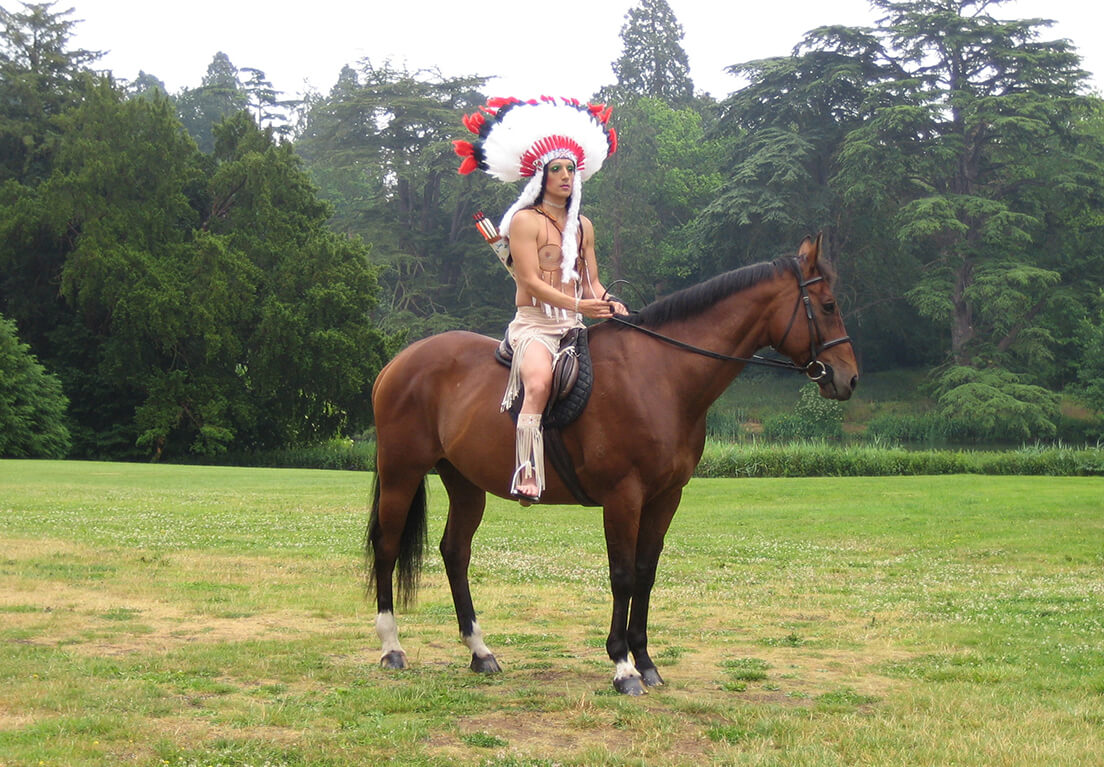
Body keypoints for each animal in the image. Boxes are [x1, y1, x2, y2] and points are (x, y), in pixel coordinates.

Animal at [366, 233, 859, 695]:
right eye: (829, 305)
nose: (848, 377)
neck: (662, 374)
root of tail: (398, 362)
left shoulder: (665, 498)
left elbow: (645, 573)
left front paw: (646, 661)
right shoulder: (624, 497)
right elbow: (621, 576)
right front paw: (623, 667)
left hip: (465, 484)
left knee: (455, 552)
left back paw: (480, 651)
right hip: (401, 473)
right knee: (387, 547)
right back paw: (392, 647)